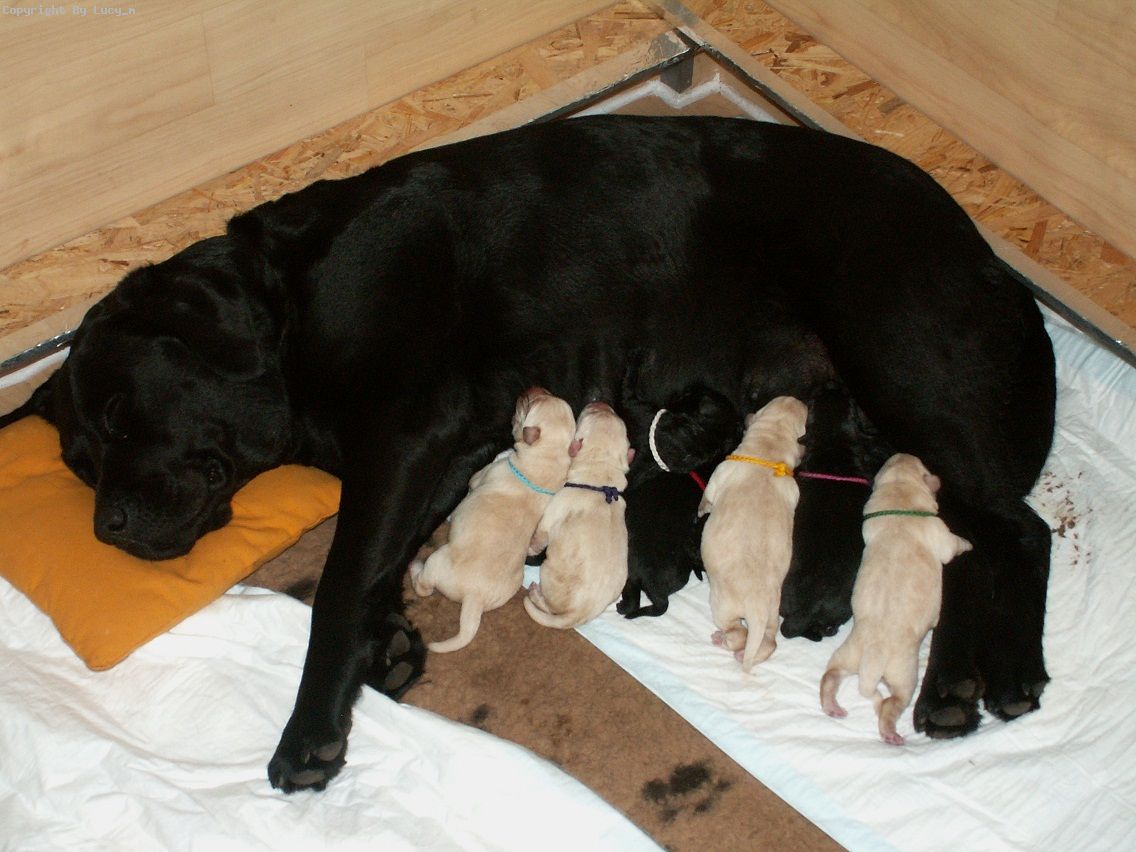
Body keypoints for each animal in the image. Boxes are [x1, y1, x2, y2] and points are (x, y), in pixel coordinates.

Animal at [409, 388, 574, 652]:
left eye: (530, 404)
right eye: (544, 395)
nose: (530, 389)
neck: (548, 461)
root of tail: (473, 598)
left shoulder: (481, 475)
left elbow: (472, 482)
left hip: (437, 561)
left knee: (424, 586)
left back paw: (416, 568)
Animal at [524, 402, 632, 629]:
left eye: (586, 415)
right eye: (610, 412)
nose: (599, 402)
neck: (602, 476)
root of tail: (577, 615)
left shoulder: (552, 513)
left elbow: (539, 537)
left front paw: (530, 548)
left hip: (547, 572)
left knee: (548, 606)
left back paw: (535, 593)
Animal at [698, 396, 808, 671]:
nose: (797, 398)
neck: (771, 447)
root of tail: (756, 609)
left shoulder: (720, 473)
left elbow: (708, 497)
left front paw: (702, 509)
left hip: (723, 606)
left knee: (738, 633)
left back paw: (723, 640)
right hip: (772, 614)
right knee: (769, 642)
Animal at [820, 453, 973, 744]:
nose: (903, 453)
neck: (899, 496)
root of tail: (873, 656)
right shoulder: (940, 533)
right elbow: (952, 546)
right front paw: (968, 544)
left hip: (848, 652)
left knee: (830, 675)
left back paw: (831, 705)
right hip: (904, 674)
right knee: (892, 704)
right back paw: (890, 733)